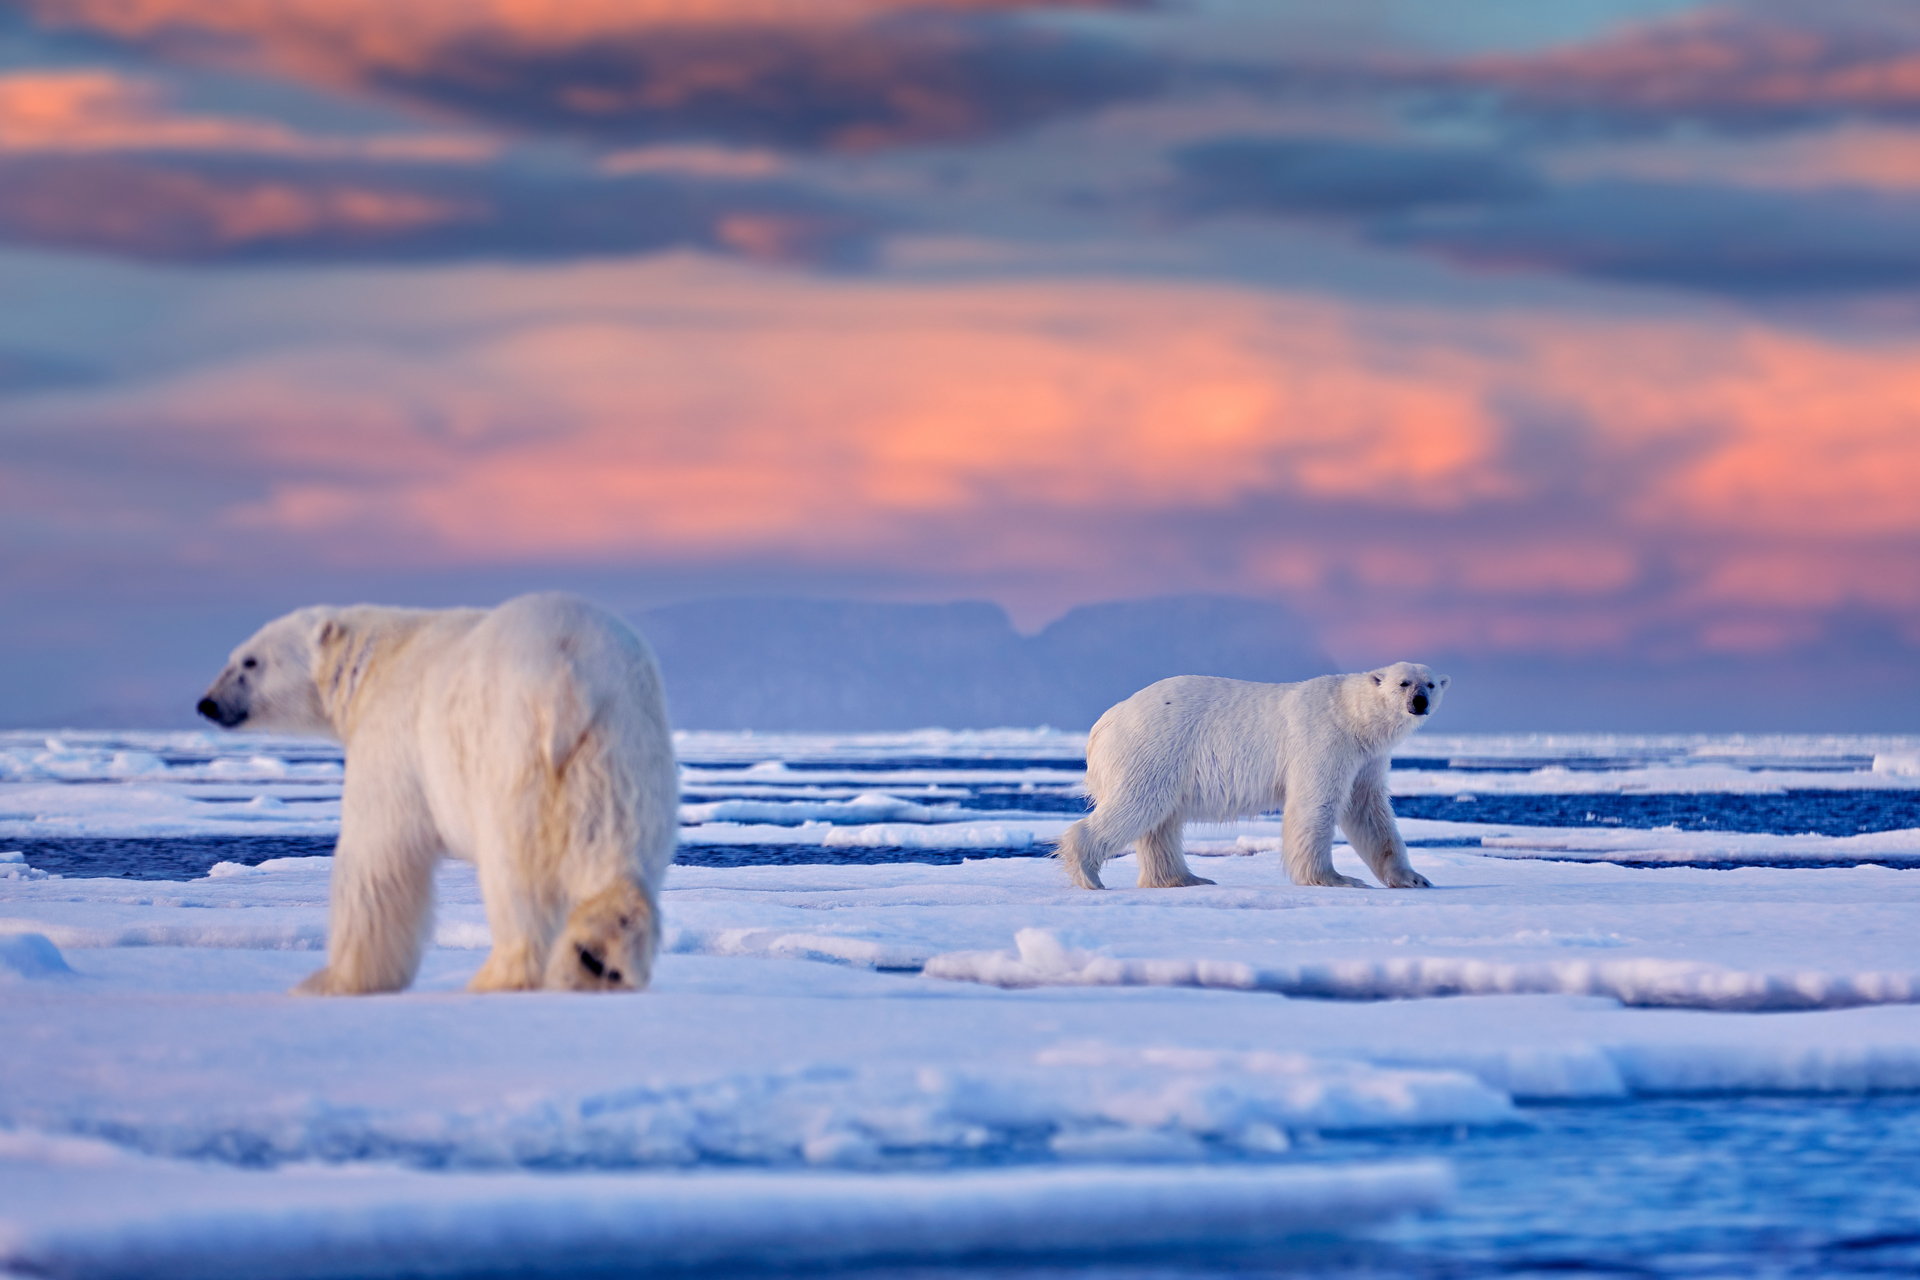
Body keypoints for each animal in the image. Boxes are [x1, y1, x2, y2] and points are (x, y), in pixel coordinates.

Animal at [197, 592, 677, 996]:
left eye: (250, 661)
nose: (207, 703)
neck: (373, 662)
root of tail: (568, 674)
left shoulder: (393, 737)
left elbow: (376, 858)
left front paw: (334, 981)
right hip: (620, 744)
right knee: (613, 845)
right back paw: (597, 960)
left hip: (508, 751)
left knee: (515, 874)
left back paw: (496, 977)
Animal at [1056, 662, 1447, 891]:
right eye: (1403, 683)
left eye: (1430, 684)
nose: (1420, 701)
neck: (1350, 715)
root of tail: (1103, 724)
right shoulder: (1324, 740)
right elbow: (1315, 805)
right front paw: (1335, 878)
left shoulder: (1367, 759)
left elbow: (1369, 813)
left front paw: (1413, 878)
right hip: (1153, 748)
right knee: (1137, 807)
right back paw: (1089, 874)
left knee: (1159, 824)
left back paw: (1185, 878)